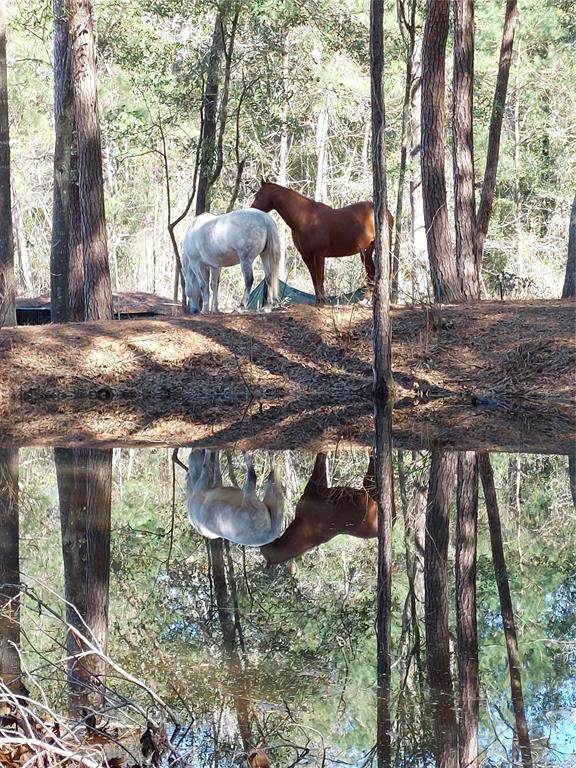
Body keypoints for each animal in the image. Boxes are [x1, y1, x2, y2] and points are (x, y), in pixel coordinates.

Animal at [250, 178, 394, 304]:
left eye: (258, 196)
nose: (251, 211)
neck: (305, 218)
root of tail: (386, 212)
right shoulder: (306, 255)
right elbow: (314, 279)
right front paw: (318, 302)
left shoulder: (319, 254)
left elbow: (320, 278)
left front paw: (322, 303)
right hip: (366, 251)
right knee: (371, 272)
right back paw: (367, 300)